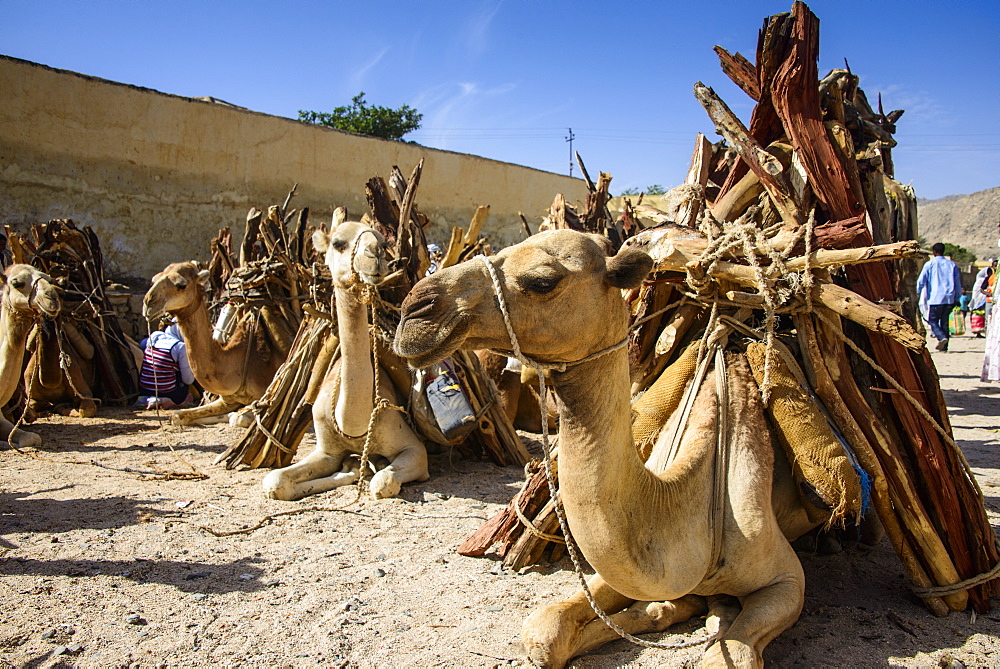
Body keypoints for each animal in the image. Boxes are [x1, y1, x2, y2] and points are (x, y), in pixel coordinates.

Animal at [141, 260, 284, 422]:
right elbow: (177, 416)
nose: (149, 302)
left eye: (182, 285)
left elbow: (237, 418)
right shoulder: (227, 400)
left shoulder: (268, 394)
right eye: (154, 279)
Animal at [260, 211, 428, 498]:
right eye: (338, 243)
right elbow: (275, 481)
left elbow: (382, 483)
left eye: (383, 242)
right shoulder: (326, 450)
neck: (353, 425)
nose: (375, 255)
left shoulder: (414, 448)